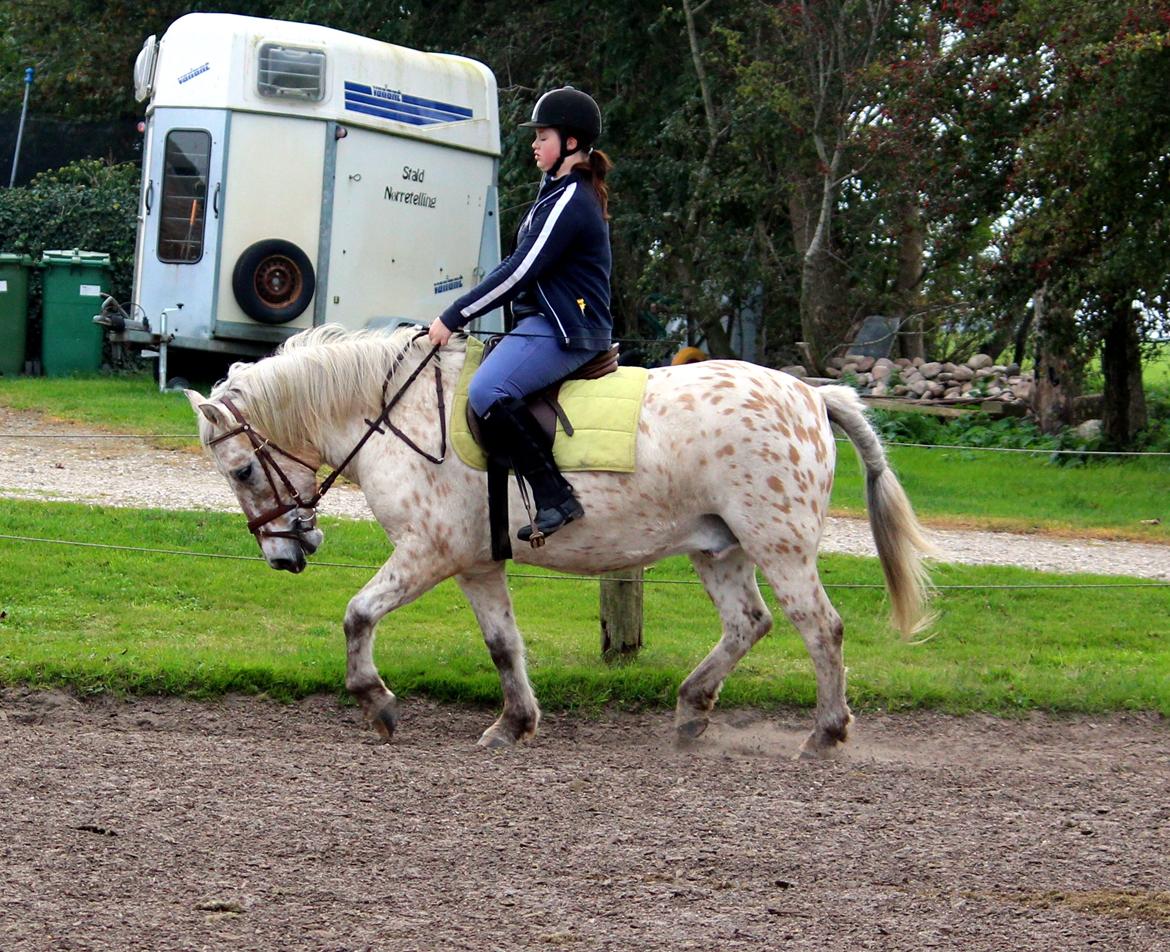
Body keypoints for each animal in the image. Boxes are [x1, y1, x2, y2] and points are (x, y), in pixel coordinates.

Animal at [184, 327, 931, 762]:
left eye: (241, 471)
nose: (285, 553)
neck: (401, 415)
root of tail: (810, 394)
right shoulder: (477, 565)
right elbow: (503, 645)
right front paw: (514, 725)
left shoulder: (428, 553)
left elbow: (358, 614)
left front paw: (378, 702)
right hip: (719, 548)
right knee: (750, 623)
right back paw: (692, 711)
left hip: (780, 545)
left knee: (821, 628)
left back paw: (825, 734)